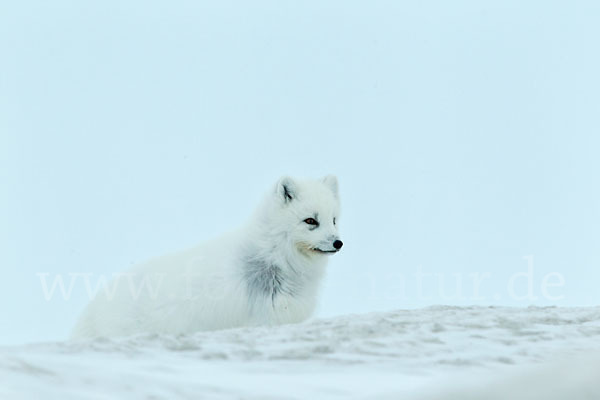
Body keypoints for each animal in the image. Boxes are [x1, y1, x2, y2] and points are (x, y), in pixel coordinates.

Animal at [71, 174, 342, 338]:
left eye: (334, 220)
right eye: (310, 221)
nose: (338, 243)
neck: (275, 257)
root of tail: (90, 309)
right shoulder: (263, 321)